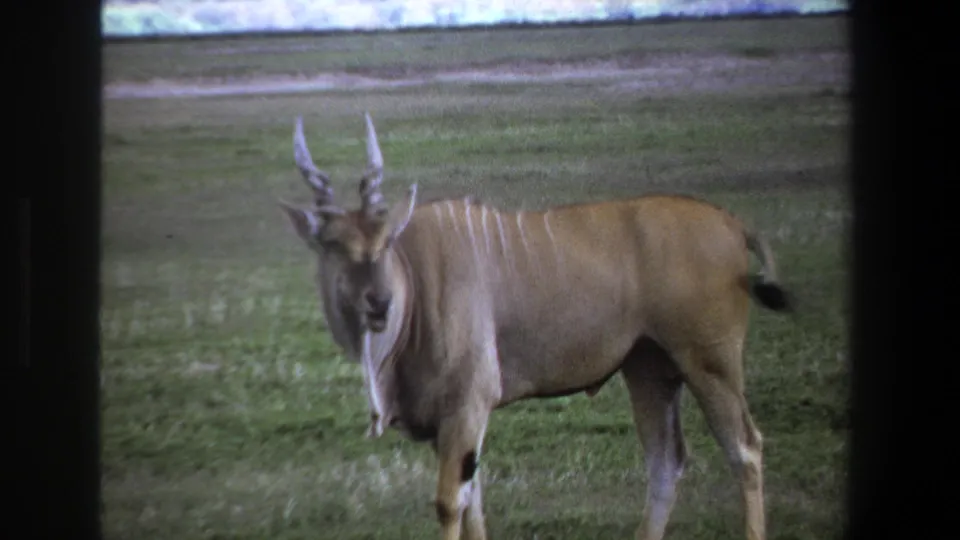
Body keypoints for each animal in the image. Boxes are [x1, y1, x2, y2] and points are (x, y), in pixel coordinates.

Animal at [277, 113, 793, 540]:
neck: (415, 284)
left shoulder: (466, 406)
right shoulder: (456, 423)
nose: (378, 302)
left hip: (709, 363)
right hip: (649, 368)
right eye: (332, 244)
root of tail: (731, 224)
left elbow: (450, 504)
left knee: (745, 449)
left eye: (385, 241)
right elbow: (473, 502)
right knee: (666, 462)